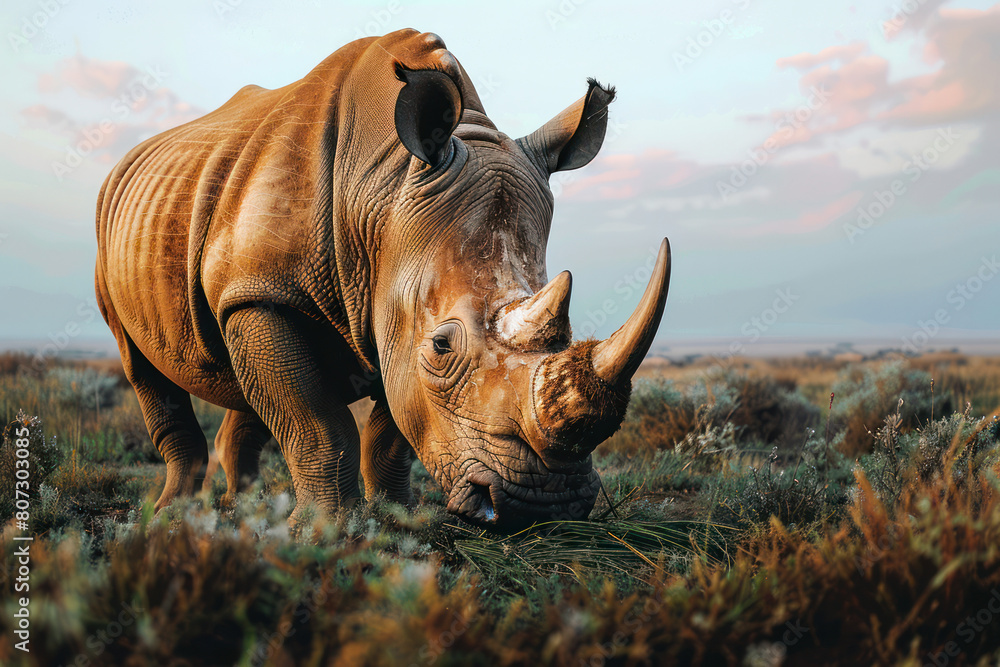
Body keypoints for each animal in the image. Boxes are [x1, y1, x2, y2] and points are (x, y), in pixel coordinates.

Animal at [94, 29, 670, 530]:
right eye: (442, 346)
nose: (545, 505)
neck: (382, 189)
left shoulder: (387, 301)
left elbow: (390, 428)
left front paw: (398, 517)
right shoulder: (264, 291)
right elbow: (316, 422)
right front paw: (325, 531)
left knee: (241, 377)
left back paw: (249, 511)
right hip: (116, 227)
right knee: (139, 361)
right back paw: (171, 515)